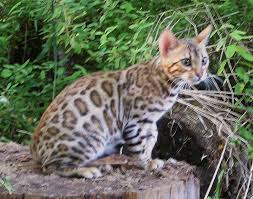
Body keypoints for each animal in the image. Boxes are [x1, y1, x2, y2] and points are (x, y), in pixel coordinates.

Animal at [30, 24, 212, 179]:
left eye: (204, 60)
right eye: (186, 62)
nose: (200, 74)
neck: (165, 82)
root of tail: (34, 148)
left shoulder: (149, 122)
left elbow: (152, 137)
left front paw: (149, 158)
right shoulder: (135, 122)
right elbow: (139, 146)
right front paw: (145, 164)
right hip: (90, 138)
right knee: (51, 167)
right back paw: (87, 170)